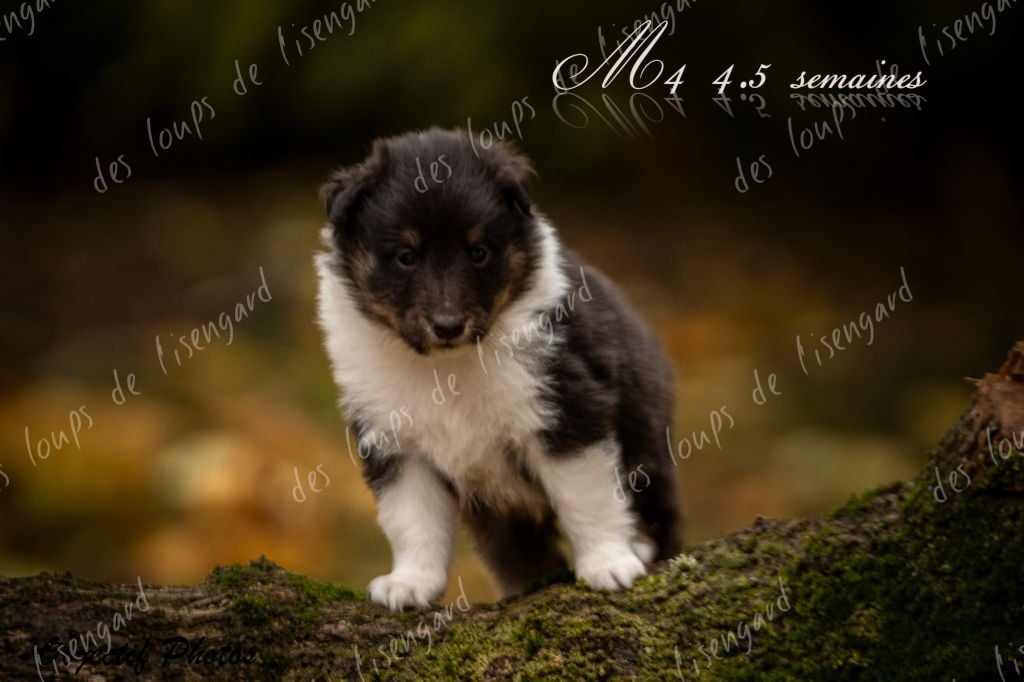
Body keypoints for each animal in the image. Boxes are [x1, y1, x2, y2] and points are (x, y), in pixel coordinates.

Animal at [311, 129, 679, 610]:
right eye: (406, 256)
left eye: (479, 252)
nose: (448, 325)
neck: (447, 366)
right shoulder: (393, 438)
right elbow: (412, 518)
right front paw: (410, 583)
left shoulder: (566, 407)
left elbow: (585, 495)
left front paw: (608, 563)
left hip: (648, 442)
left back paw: (640, 545)